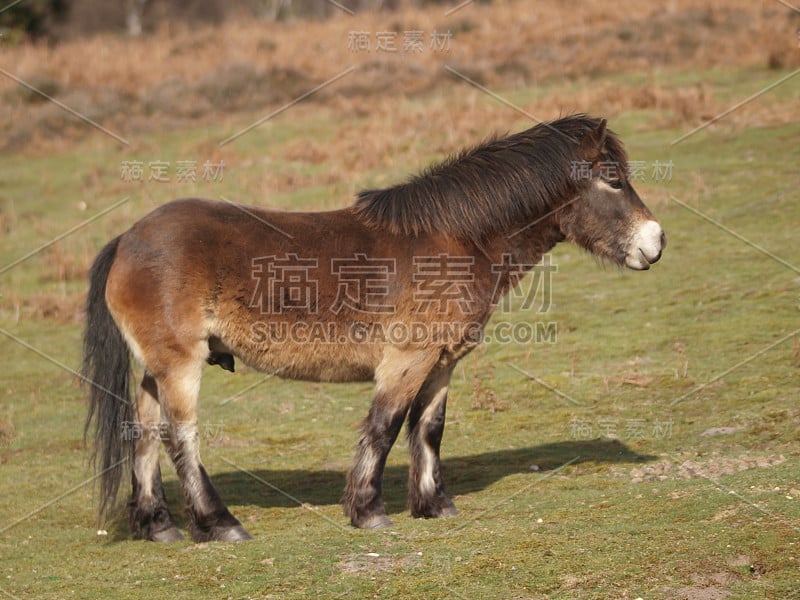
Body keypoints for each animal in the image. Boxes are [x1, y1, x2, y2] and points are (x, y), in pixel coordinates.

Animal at [84, 115, 664, 540]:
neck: (455, 240)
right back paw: (220, 524)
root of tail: (128, 239)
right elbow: (384, 427)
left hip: (156, 370)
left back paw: (158, 525)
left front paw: (434, 505)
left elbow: (428, 429)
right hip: (180, 366)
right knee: (180, 437)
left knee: (143, 434)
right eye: (613, 179)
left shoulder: (440, 363)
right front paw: (368, 510)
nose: (656, 242)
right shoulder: (405, 361)